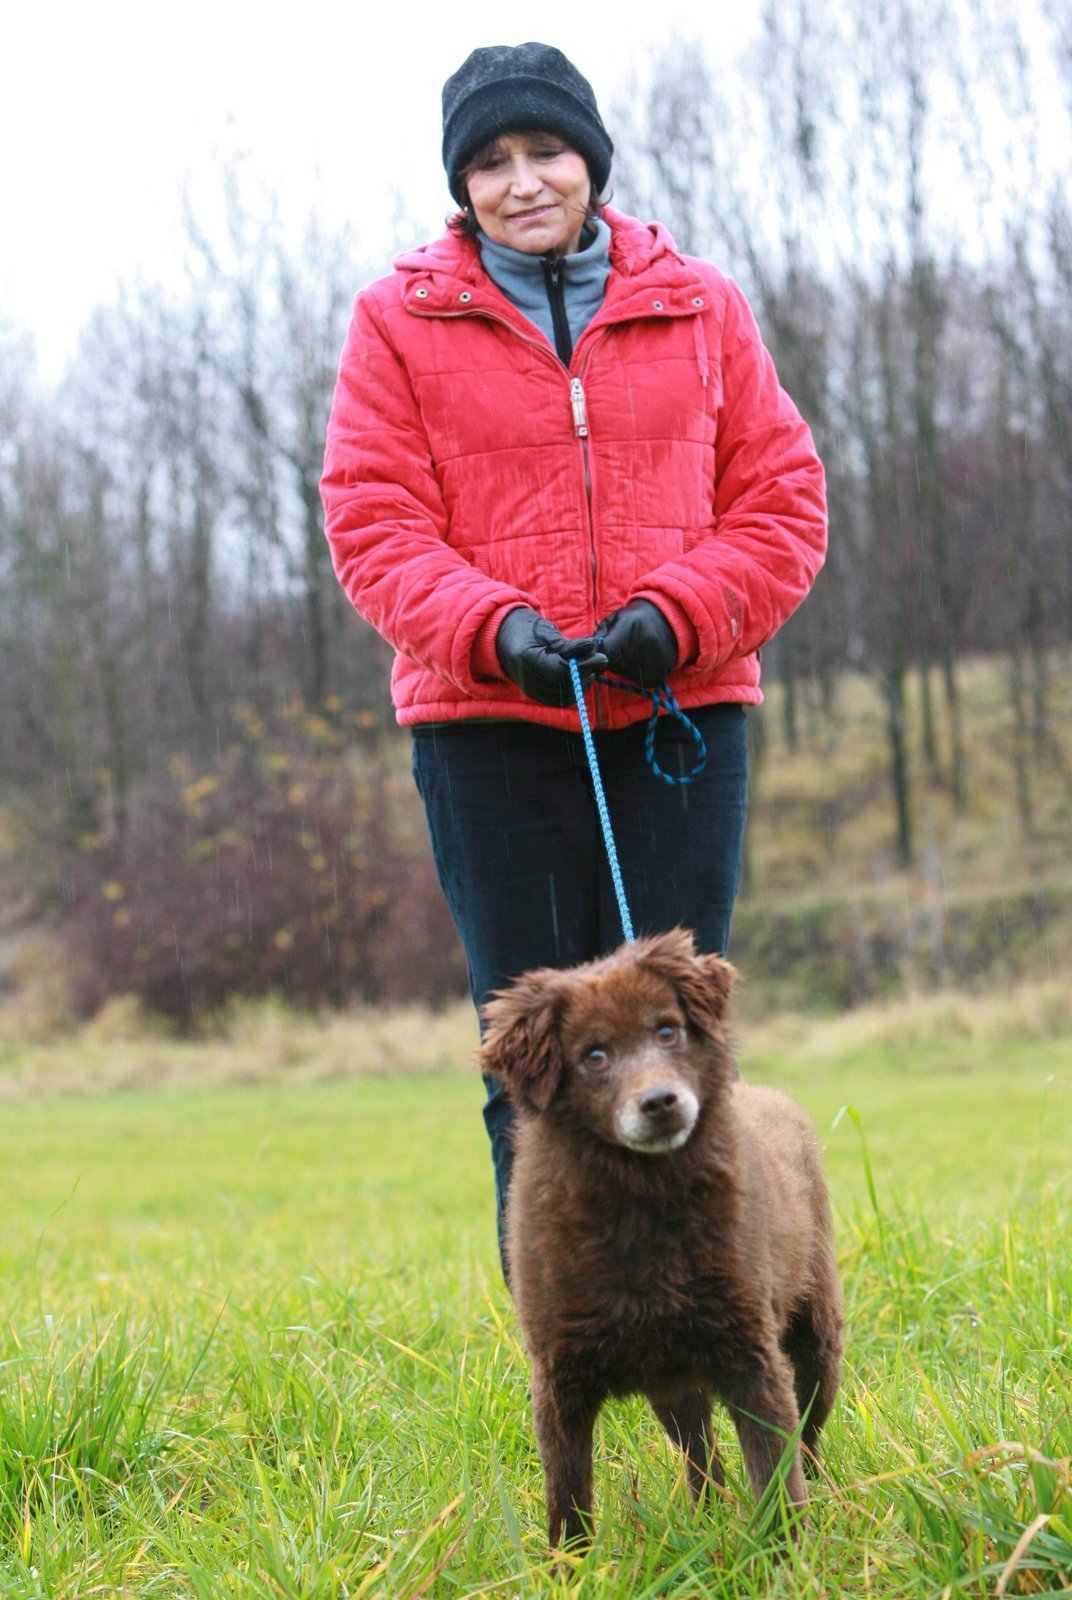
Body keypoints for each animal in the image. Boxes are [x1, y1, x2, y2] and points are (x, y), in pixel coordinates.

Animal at [483, 928, 844, 1548]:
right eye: (594, 1055)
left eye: (667, 1030)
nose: (660, 1103)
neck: (640, 1206)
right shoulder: (557, 1377)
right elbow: (567, 1502)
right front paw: (571, 1566)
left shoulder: (753, 1356)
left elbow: (777, 1475)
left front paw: (788, 1557)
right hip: (673, 1380)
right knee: (703, 1456)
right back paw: (706, 1518)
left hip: (815, 1340)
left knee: (808, 1436)